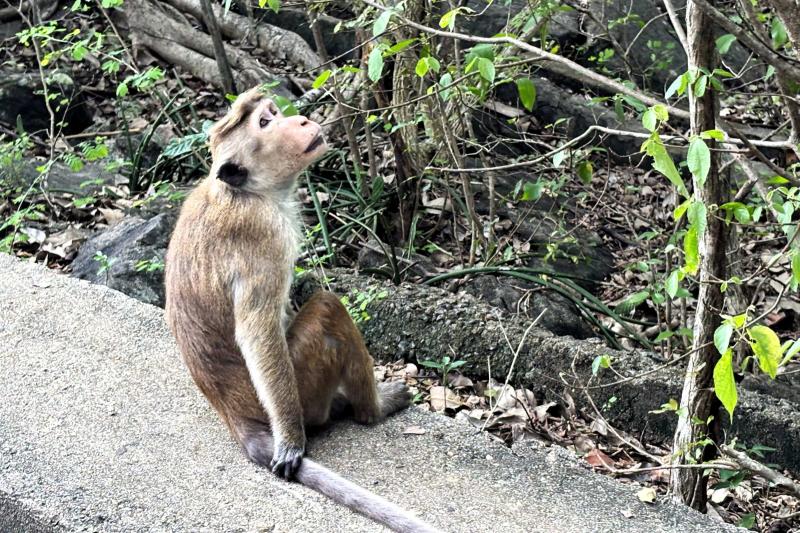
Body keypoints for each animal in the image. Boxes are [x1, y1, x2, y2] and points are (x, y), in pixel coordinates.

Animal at [164, 89, 438, 528]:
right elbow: (257, 331)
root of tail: (235, 416)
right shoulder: (265, 234)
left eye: (271, 113)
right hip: (305, 387)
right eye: (265, 123)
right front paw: (291, 440)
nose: (303, 119)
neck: (248, 192)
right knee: (328, 309)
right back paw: (374, 409)